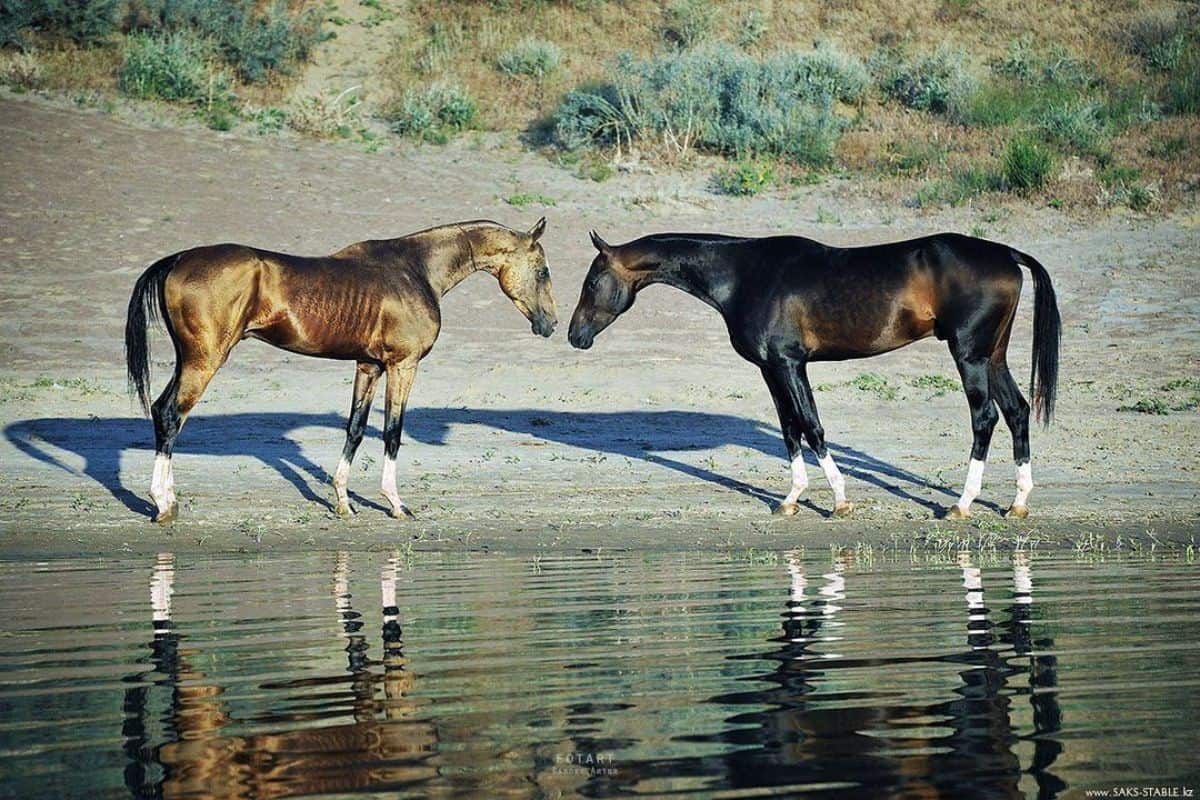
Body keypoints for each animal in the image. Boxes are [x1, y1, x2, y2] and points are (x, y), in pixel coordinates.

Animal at [126, 217, 556, 525]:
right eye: (543, 271)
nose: (550, 324)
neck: (416, 270)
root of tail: (178, 259)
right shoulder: (402, 365)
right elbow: (392, 432)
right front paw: (396, 504)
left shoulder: (369, 366)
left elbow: (355, 429)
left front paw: (344, 502)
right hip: (205, 360)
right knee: (171, 414)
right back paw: (162, 503)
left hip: (189, 359)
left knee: (163, 412)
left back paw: (170, 501)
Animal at [566, 231, 1056, 520]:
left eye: (591, 282)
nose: (574, 335)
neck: (744, 274)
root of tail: (1006, 254)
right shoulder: (771, 369)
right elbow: (790, 430)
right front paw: (790, 499)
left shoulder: (789, 364)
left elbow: (812, 426)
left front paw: (839, 500)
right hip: (993, 356)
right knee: (1017, 411)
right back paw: (1017, 503)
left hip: (969, 355)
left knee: (984, 419)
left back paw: (962, 504)